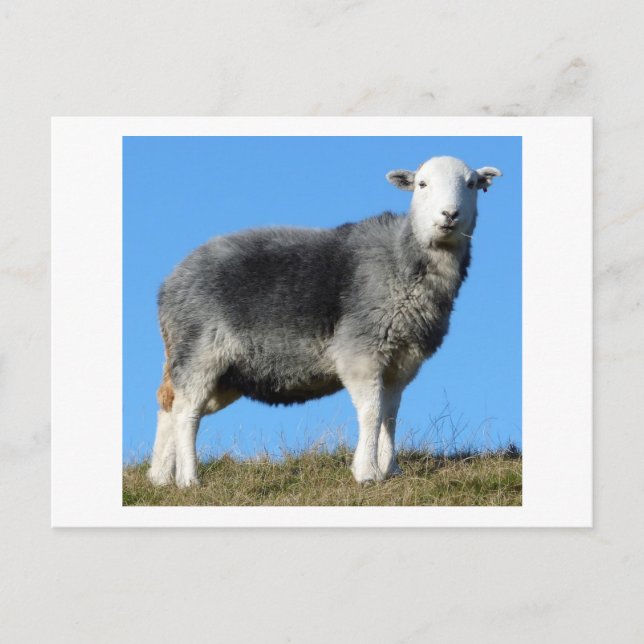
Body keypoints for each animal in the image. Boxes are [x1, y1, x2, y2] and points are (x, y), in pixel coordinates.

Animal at [147, 156, 502, 488]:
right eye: (422, 184)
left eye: (471, 184)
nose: (449, 215)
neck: (403, 260)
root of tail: (171, 281)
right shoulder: (361, 352)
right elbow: (371, 411)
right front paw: (366, 473)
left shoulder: (403, 360)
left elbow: (390, 414)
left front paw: (391, 471)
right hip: (201, 351)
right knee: (187, 413)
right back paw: (189, 480)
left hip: (223, 374)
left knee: (170, 405)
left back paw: (160, 478)